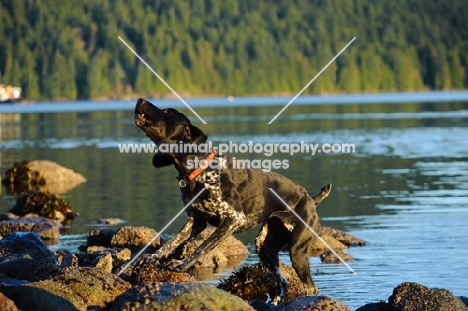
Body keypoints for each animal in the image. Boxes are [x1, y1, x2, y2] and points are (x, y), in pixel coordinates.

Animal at [133, 98, 330, 304]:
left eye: (168, 112)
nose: (140, 100)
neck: (198, 169)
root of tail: (310, 200)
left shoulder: (232, 220)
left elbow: (201, 247)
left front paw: (182, 264)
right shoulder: (196, 221)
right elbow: (171, 243)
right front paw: (151, 257)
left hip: (297, 249)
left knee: (310, 287)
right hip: (265, 248)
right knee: (283, 282)